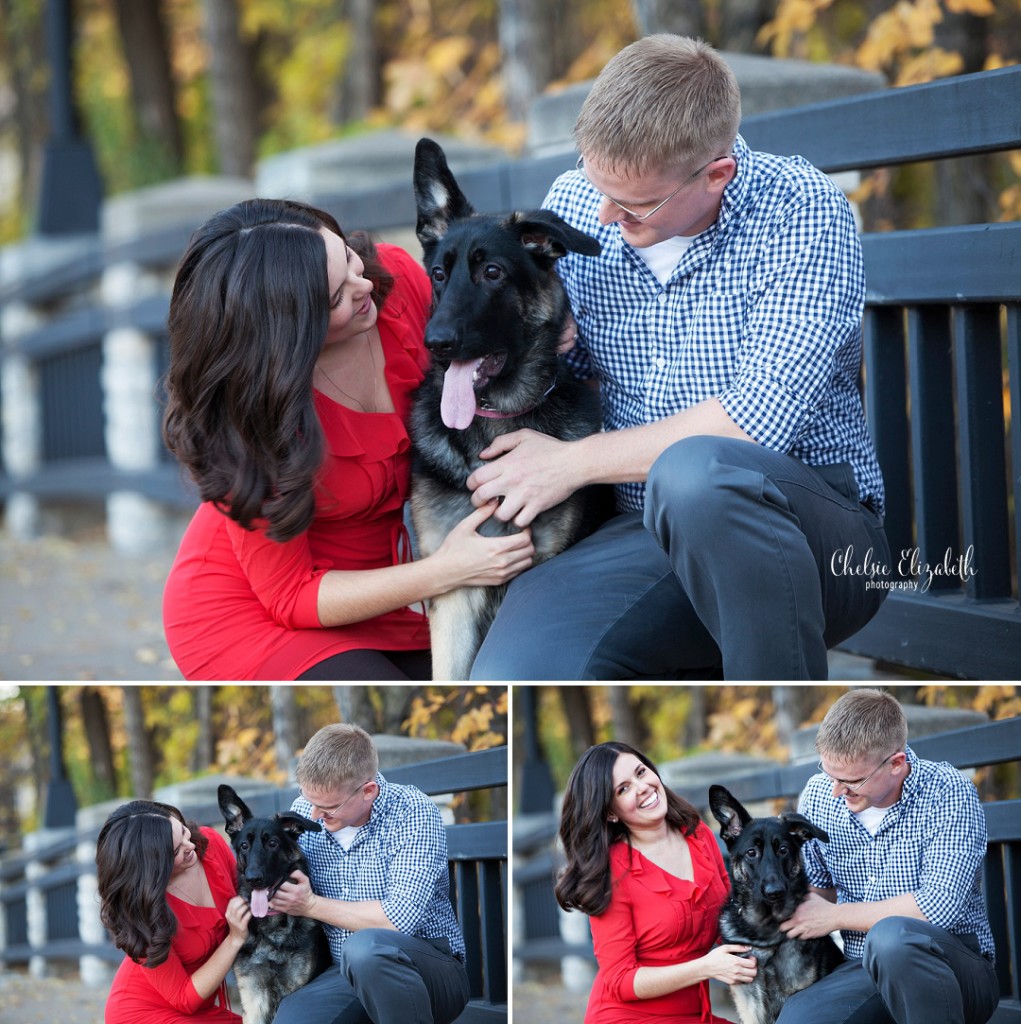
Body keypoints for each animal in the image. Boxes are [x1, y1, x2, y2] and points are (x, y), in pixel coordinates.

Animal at [218, 786, 329, 1019]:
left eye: (273, 843)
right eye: (244, 846)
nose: (253, 878)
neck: (272, 930)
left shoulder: (295, 987)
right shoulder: (254, 998)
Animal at [704, 786, 839, 1019]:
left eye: (783, 850)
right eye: (751, 852)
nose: (774, 892)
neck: (766, 928)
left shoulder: (798, 990)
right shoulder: (749, 1000)